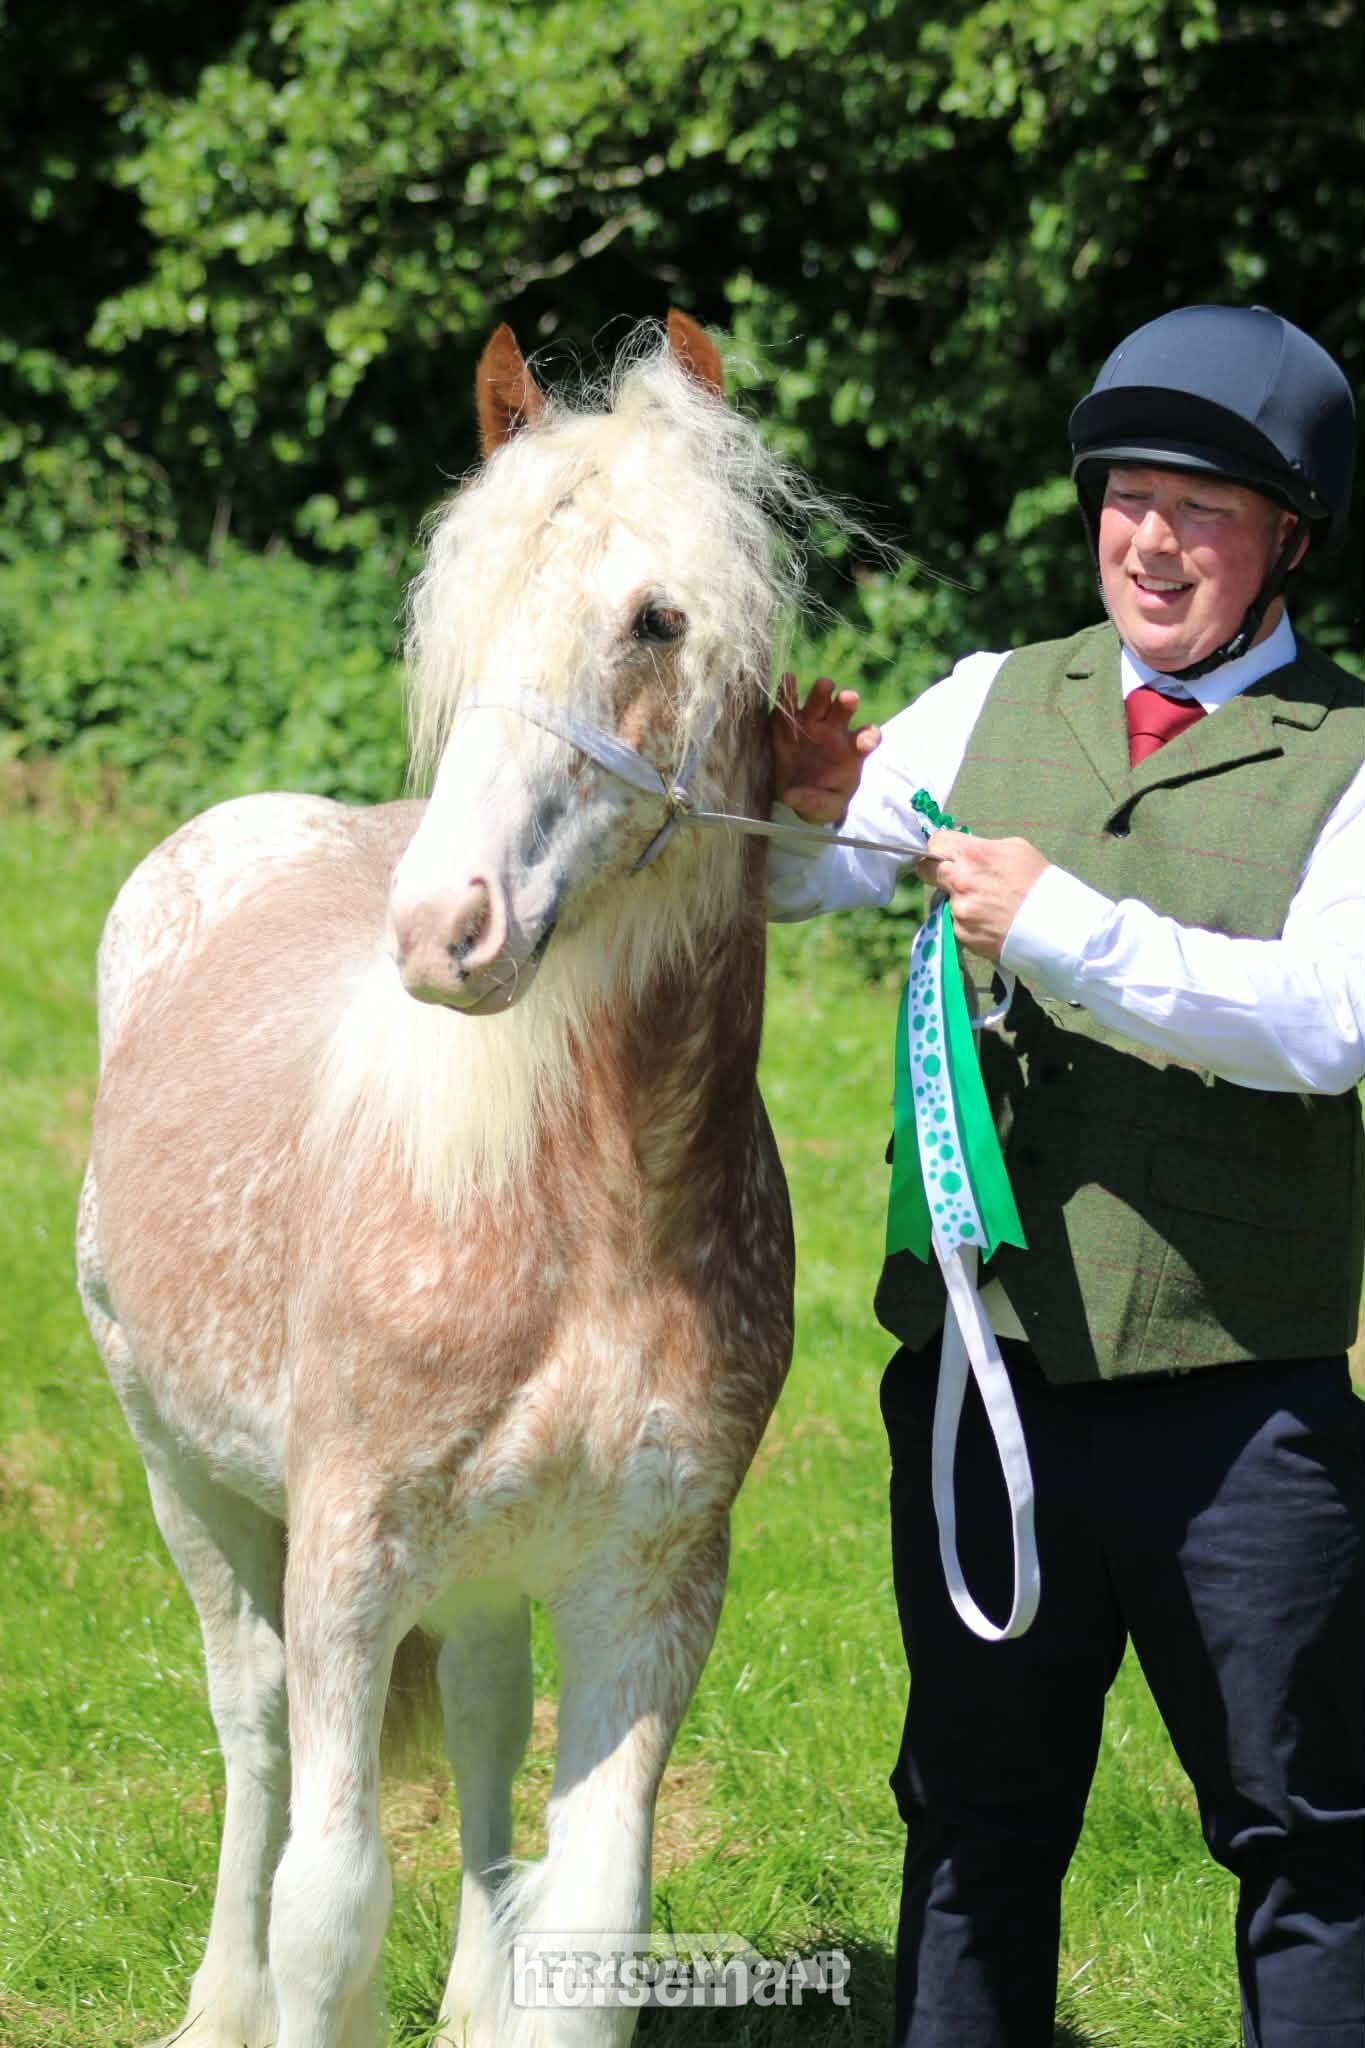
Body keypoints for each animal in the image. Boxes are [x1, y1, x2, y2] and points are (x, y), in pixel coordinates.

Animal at [76, 311, 811, 2048]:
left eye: (658, 618)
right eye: (461, 616)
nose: (443, 928)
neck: (594, 1212)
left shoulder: (648, 1587)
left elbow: (592, 1922)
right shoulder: (346, 1561)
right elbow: (330, 1907)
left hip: (478, 1570)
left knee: (479, 1713)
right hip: (189, 1480)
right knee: (255, 1736)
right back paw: (215, 2004)